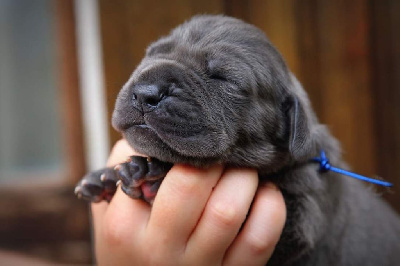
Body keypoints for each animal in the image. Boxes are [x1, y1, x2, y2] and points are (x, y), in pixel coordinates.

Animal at [75, 15, 400, 264]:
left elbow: (256, 209)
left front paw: (151, 176)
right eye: (151, 54)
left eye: (223, 78)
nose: (146, 92)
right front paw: (105, 177)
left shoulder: (302, 216)